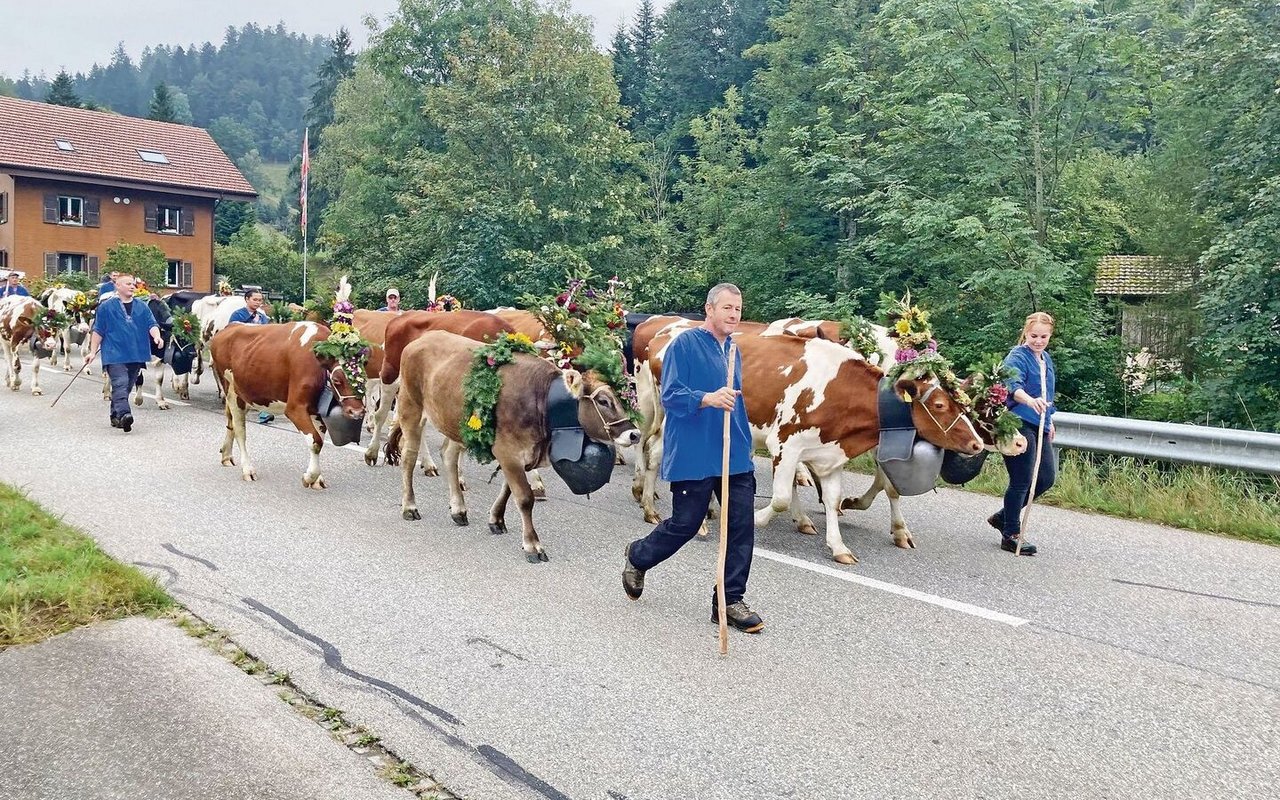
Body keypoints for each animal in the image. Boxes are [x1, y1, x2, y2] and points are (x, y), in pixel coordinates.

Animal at [207, 320, 363, 486]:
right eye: (337, 380)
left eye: (364, 378)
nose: (357, 412)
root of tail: (232, 325)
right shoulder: (294, 408)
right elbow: (315, 441)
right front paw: (309, 477)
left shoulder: (315, 410)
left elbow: (319, 439)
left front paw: (317, 479)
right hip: (231, 391)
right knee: (239, 430)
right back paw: (248, 469)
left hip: (245, 395)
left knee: (230, 422)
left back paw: (226, 456)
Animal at [386, 330, 640, 560]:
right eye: (603, 401)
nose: (634, 434)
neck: (541, 400)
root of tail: (422, 339)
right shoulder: (507, 451)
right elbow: (524, 497)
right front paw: (532, 545)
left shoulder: (518, 455)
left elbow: (508, 490)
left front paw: (496, 519)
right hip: (411, 408)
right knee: (408, 458)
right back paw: (410, 507)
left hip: (457, 424)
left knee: (448, 455)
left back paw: (458, 509)